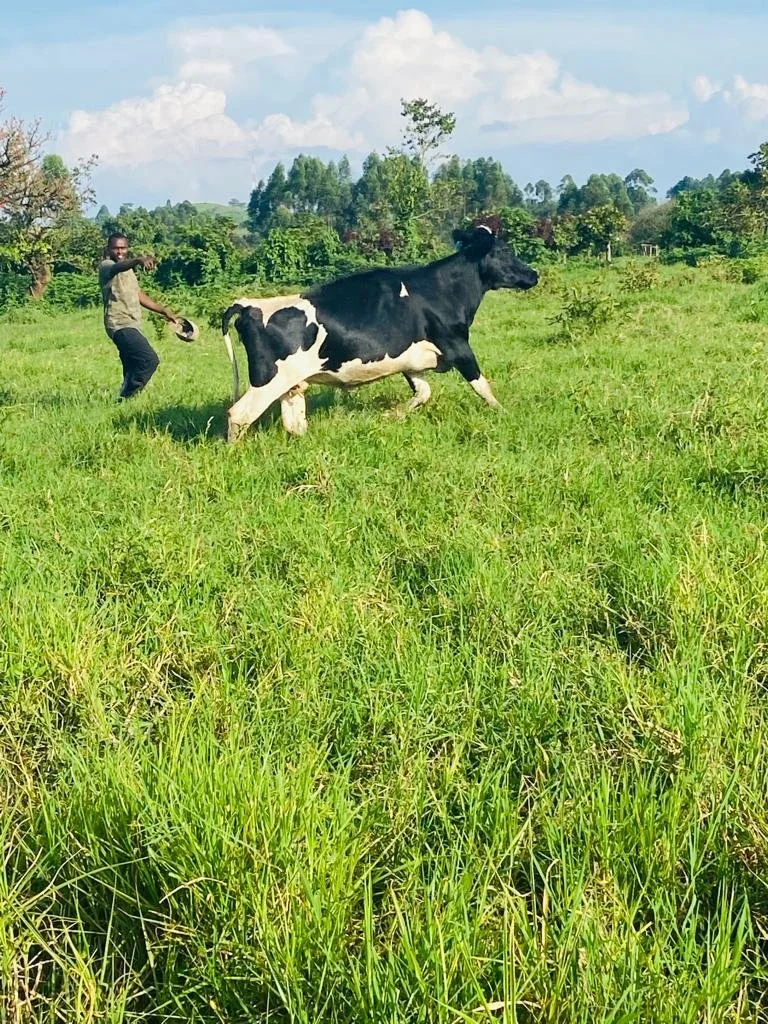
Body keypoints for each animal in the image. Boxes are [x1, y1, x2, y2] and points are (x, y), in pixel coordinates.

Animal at [221, 225, 538, 441]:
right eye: (505, 252)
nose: (534, 274)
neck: (443, 290)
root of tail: (248, 305)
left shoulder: (412, 361)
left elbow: (423, 392)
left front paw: (391, 415)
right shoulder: (458, 346)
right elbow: (483, 387)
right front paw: (504, 414)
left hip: (292, 383)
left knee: (293, 421)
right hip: (268, 379)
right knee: (239, 414)